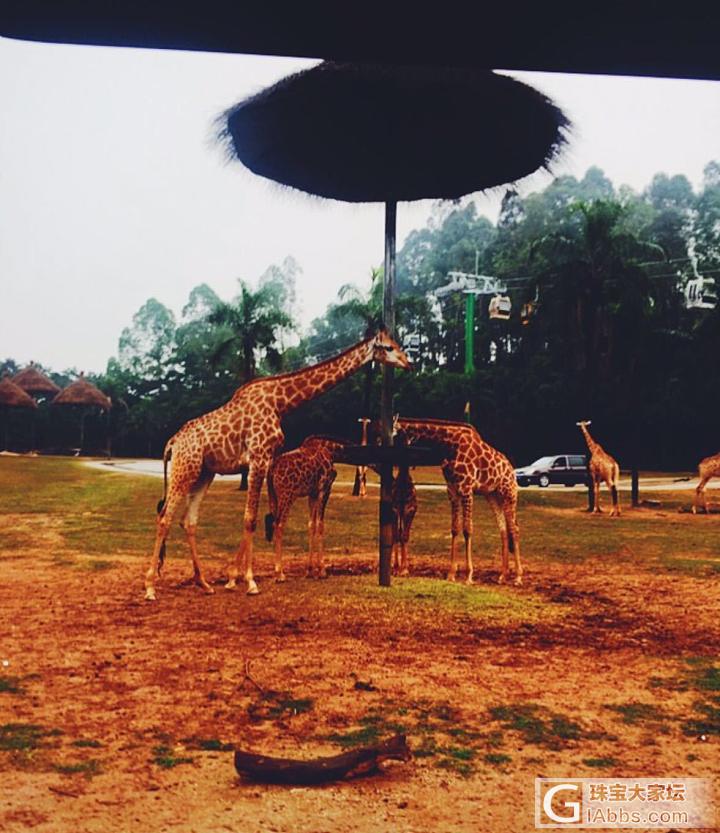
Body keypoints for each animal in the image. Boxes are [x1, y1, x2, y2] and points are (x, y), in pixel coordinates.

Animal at [264, 436, 348, 580]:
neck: (332, 450)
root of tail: (272, 470)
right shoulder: (324, 490)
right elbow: (320, 525)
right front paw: (322, 571)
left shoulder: (312, 493)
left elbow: (311, 525)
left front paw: (309, 570)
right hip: (287, 495)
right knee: (279, 524)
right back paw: (280, 574)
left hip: (273, 496)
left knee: (275, 523)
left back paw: (277, 571)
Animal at [390, 416, 520, 584]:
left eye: (394, 436)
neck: (450, 444)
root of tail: (512, 470)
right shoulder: (452, 491)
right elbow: (455, 529)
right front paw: (451, 573)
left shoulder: (466, 489)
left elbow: (467, 529)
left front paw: (468, 575)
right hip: (493, 495)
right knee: (503, 530)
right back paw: (503, 575)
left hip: (509, 494)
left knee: (514, 529)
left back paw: (518, 576)